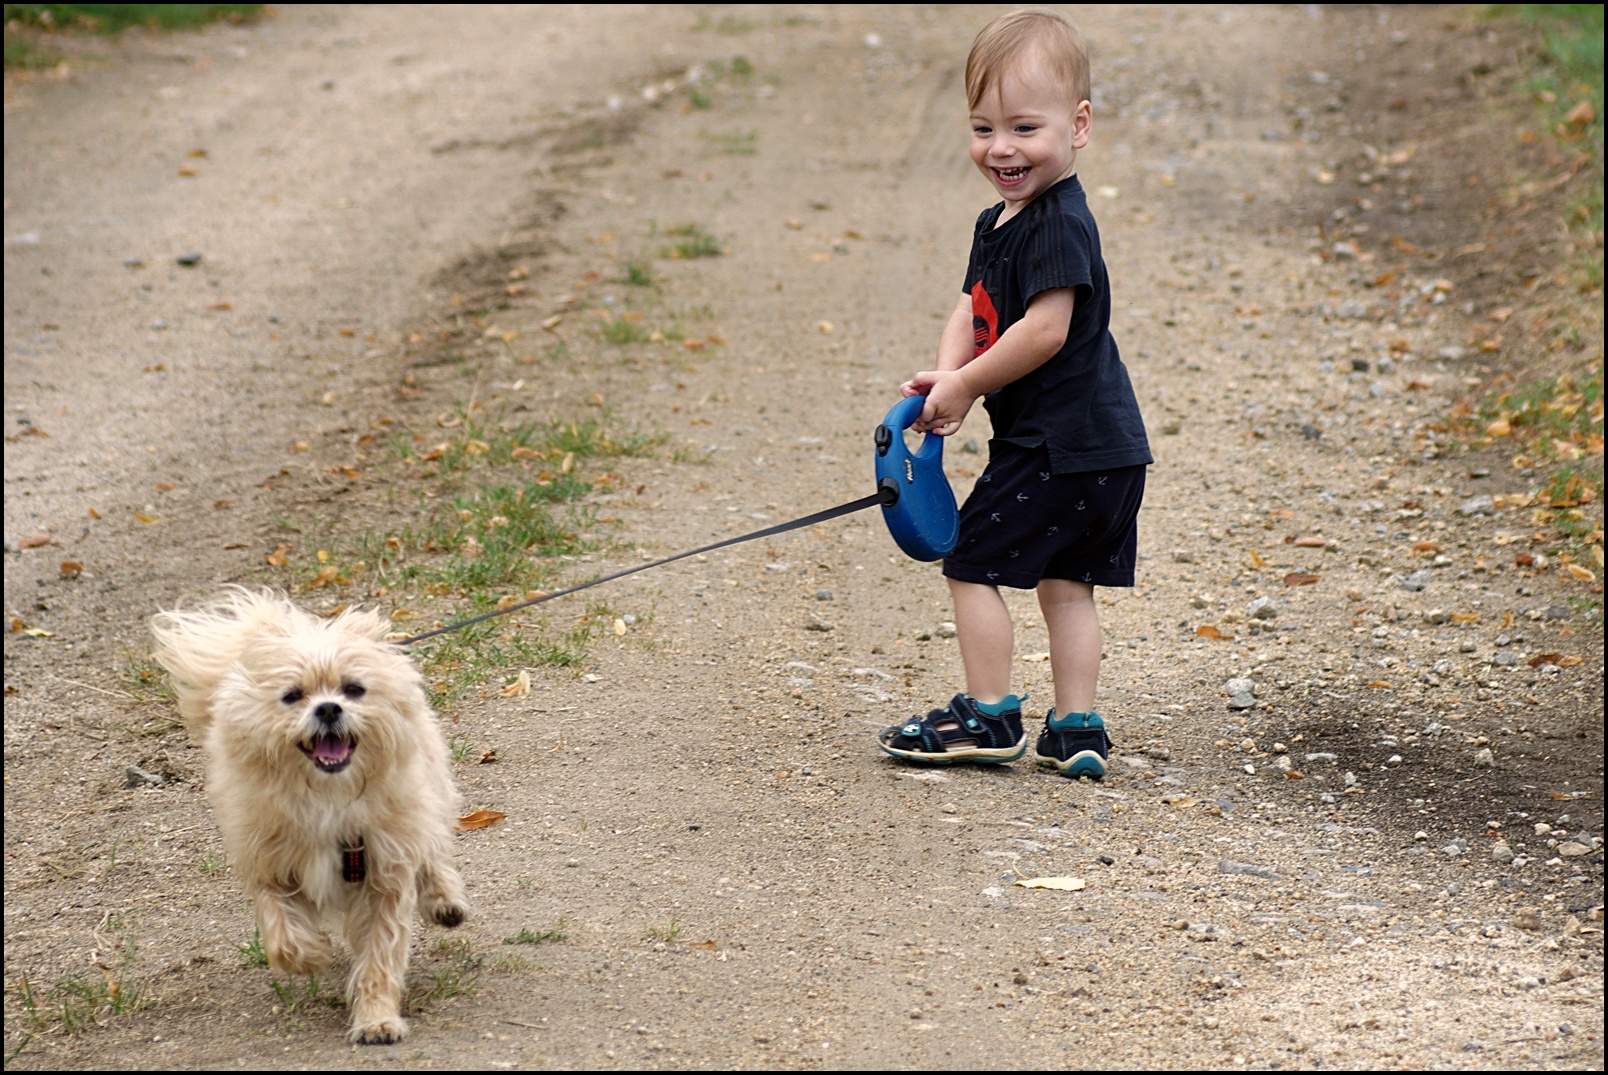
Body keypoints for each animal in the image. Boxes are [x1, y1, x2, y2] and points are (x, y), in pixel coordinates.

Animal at [151, 588, 469, 1041]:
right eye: (291, 695)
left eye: (354, 689)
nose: (329, 709)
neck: (327, 797)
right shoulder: (270, 865)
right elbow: (282, 934)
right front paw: (311, 954)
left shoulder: (386, 874)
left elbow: (380, 953)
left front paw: (376, 1017)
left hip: (429, 796)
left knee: (435, 851)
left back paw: (445, 900)